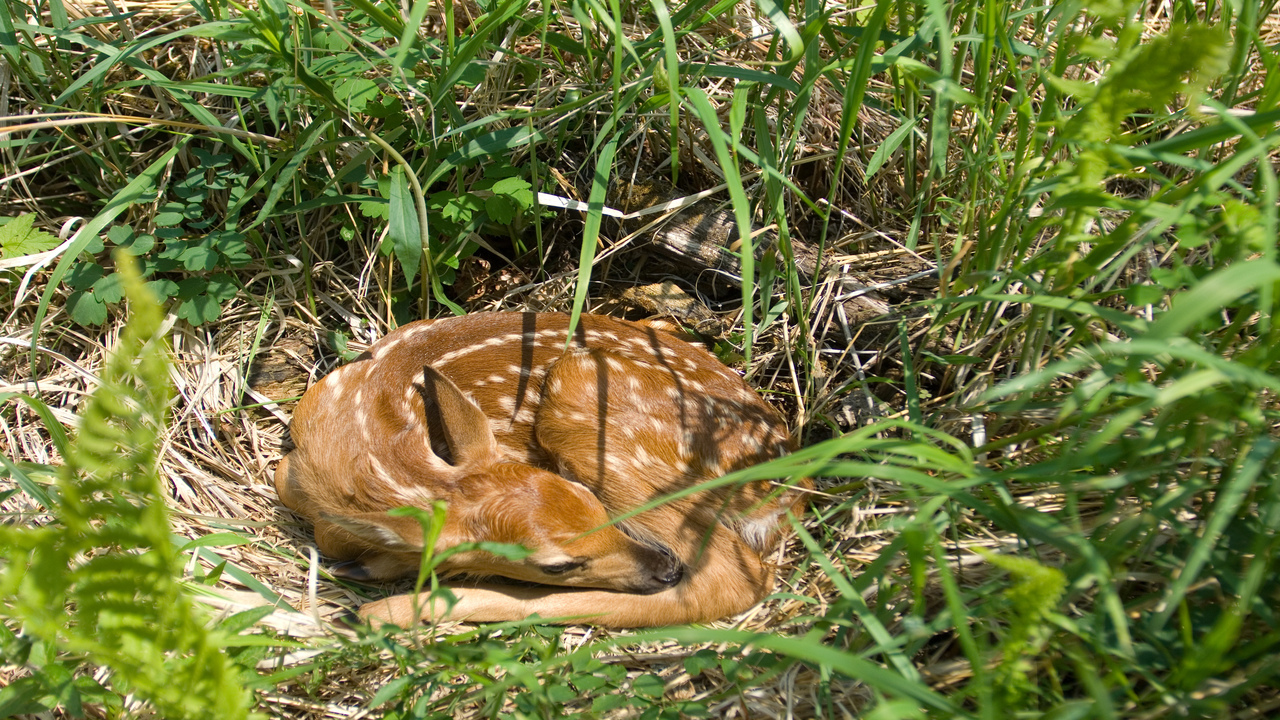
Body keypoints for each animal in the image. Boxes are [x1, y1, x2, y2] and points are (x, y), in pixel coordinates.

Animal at [275, 312, 806, 628]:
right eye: (557, 564)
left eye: (592, 501)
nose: (664, 569)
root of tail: (789, 491)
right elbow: (286, 484)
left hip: (585, 398)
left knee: (730, 581)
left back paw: (387, 610)